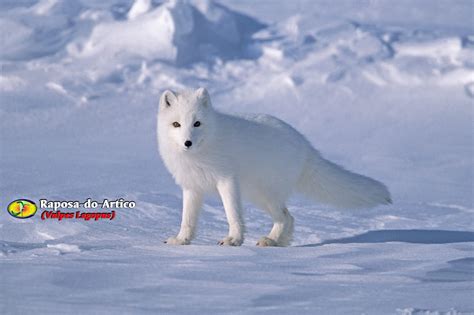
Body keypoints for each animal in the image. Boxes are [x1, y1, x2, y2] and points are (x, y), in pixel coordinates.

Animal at [157, 88, 390, 247]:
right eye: (176, 124)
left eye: (197, 123)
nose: (187, 143)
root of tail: (305, 145)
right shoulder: (192, 187)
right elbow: (187, 219)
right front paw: (181, 240)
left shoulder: (227, 181)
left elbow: (233, 214)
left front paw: (233, 240)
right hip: (258, 195)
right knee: (289, 217)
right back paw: (278, 242)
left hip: (265, 193)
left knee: (286, 217)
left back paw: (271, 241)